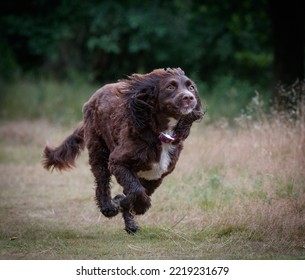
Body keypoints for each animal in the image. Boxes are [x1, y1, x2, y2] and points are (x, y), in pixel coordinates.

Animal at [41, 68, 203, 234]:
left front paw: (125, 204)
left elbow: (135, 193)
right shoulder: (118, 162)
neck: (159, 132)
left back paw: (129, 223)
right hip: (99, 149)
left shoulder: (156, 175)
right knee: (102, 182)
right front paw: (130, 204)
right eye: (170, 86)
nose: (189, 97)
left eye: (191, 87)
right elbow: (137, 191)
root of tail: (94, 96)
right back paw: (107, 207)